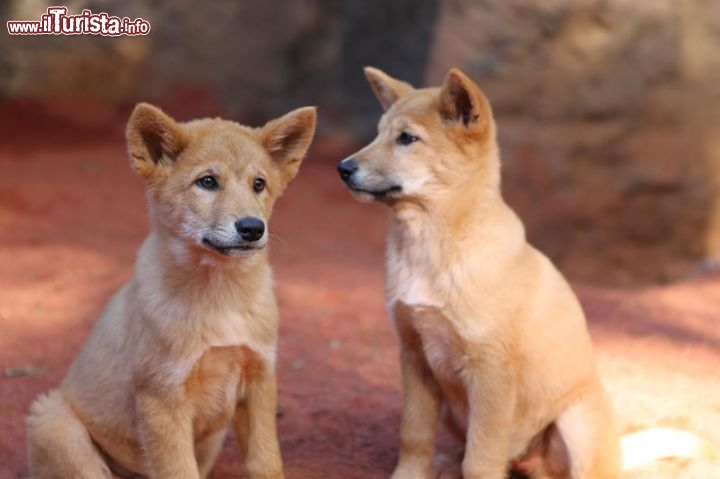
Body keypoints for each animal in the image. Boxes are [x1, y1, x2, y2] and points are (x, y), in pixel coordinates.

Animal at [28, 103, 316, 478]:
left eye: (259, 184)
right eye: (207, 182)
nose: (253, 228)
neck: (221, 295)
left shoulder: (259, 382)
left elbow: (265, 462)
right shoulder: (162, 398)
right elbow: (178, 469)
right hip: (55, 422)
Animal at [338, 67, 716, 479]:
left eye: (407, 138)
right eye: (378, 133)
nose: (343, 168)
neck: (432, 247)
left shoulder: (490, 371)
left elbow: (481, 459)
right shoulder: (414, 355)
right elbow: (414, 436)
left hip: (576, 424)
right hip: (456, 414)